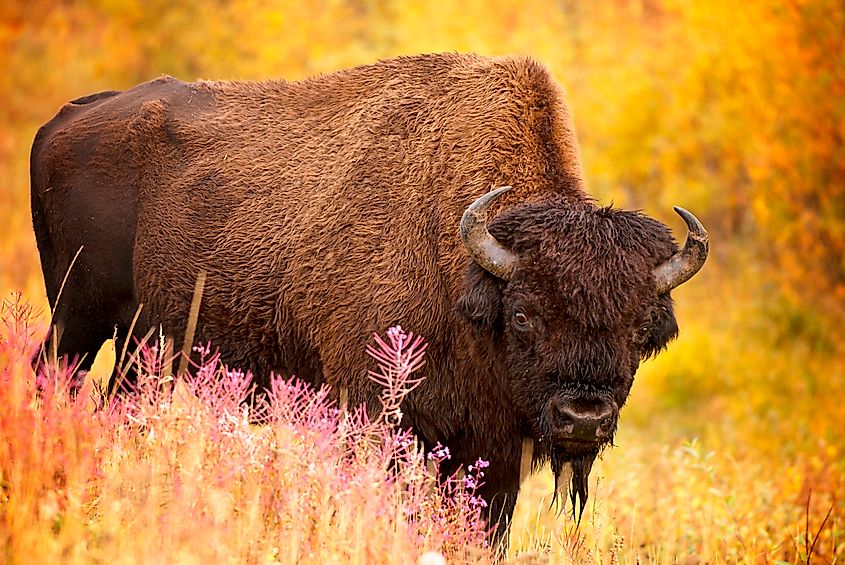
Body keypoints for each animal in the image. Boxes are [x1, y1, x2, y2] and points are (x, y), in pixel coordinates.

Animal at [30, 53, 708, 539]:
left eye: (641, 330)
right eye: (523, 315)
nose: (583, 417)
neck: (464, 263)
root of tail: (67, 118)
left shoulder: (491, 450)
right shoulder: (374, 412)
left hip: (141, 341)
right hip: (78, 318)